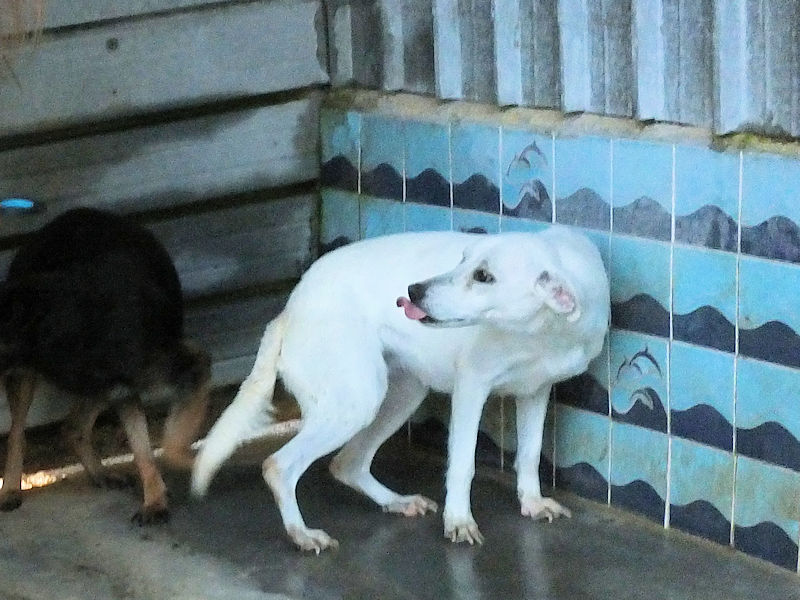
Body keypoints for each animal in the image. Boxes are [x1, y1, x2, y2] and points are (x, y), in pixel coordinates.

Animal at [0, 208, 210, 524]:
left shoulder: (183, 367)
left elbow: (160, 445)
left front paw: (159, 496)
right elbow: (151, 446)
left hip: (104, 387)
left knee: (72, 427)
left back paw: (103, 474)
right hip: (34, 380)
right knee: (21, 433)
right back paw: (11, 489)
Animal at [192, 226, 609, 552]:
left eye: (484, 276)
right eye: (463, 259)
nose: (413, 289)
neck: (542, 331)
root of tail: (290, 308)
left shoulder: (536, 392)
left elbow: (529, 453)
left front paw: (533, 503)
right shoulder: (471, 388)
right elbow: (463, 464)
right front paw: (458, 521)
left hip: (402, 396)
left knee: (347, 463)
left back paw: (395, 502)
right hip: (357, 402)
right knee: (279, 465)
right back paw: (302, 534)